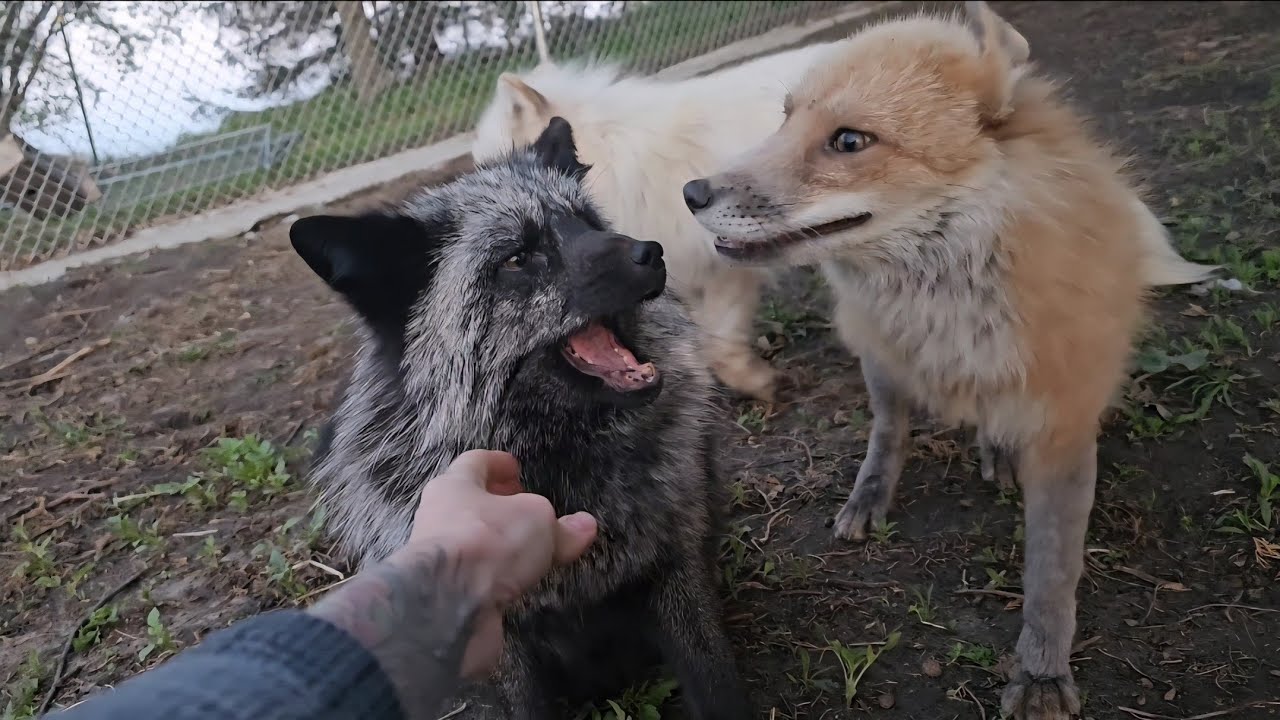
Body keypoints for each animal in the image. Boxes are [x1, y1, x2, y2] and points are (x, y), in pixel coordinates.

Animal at [681, 3, 1218, 718]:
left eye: (849, 141)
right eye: (785, 117)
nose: (692, 193)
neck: (959, 320)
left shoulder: (1063, 424)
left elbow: (1052, 575)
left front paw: (1041, 673)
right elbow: (893, 434)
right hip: (879, 364)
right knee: (890, 429)